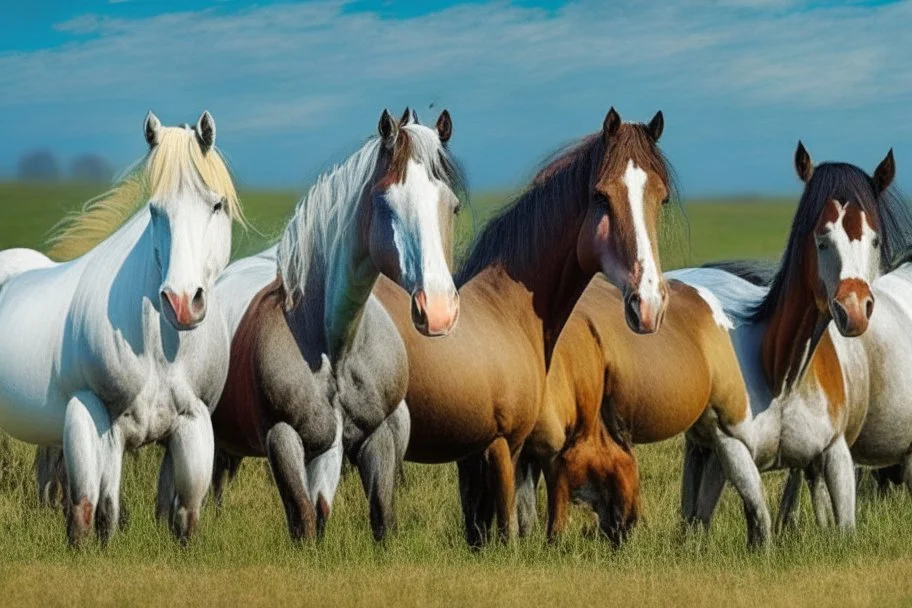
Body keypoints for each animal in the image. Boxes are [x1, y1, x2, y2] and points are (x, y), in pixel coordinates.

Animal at [0, 111, 244, 545]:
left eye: (217, 204)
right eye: (155, 210)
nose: (182, 302)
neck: (159, 347)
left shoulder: (193, 421)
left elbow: (185, 514)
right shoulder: (96, 415)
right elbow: (95, 511)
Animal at [198, 108, 464, 542]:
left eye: (453, 206)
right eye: (386, 204)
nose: (439, 310)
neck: (333, 346)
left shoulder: (376, 438)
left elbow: (380, 517)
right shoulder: (283, 439)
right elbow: (304, 521)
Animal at [374, 107, 677, 547]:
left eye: (662, 197)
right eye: (600, 196)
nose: (649, 304)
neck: (508, 306)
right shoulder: (507, 448)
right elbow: (511, 526)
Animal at [671, 142, 912, 534]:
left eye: (874, 240)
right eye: (821, 239)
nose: (854, 310)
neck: (780, 371)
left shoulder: (834, 452)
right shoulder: (731, 450)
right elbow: (759, 520)